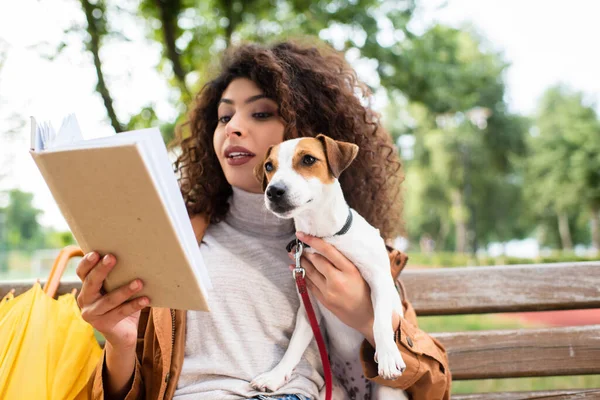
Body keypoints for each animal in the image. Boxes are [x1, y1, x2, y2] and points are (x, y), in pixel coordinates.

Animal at [248, 135, 408, 400]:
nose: (274, 191)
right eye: (269, 166)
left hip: (387, 393)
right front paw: (275, 375)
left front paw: (387, 354)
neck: (327, 236)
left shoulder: (379, 280)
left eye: (308, 159)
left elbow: (380, 320)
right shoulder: (309, 305)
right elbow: (294, 346)